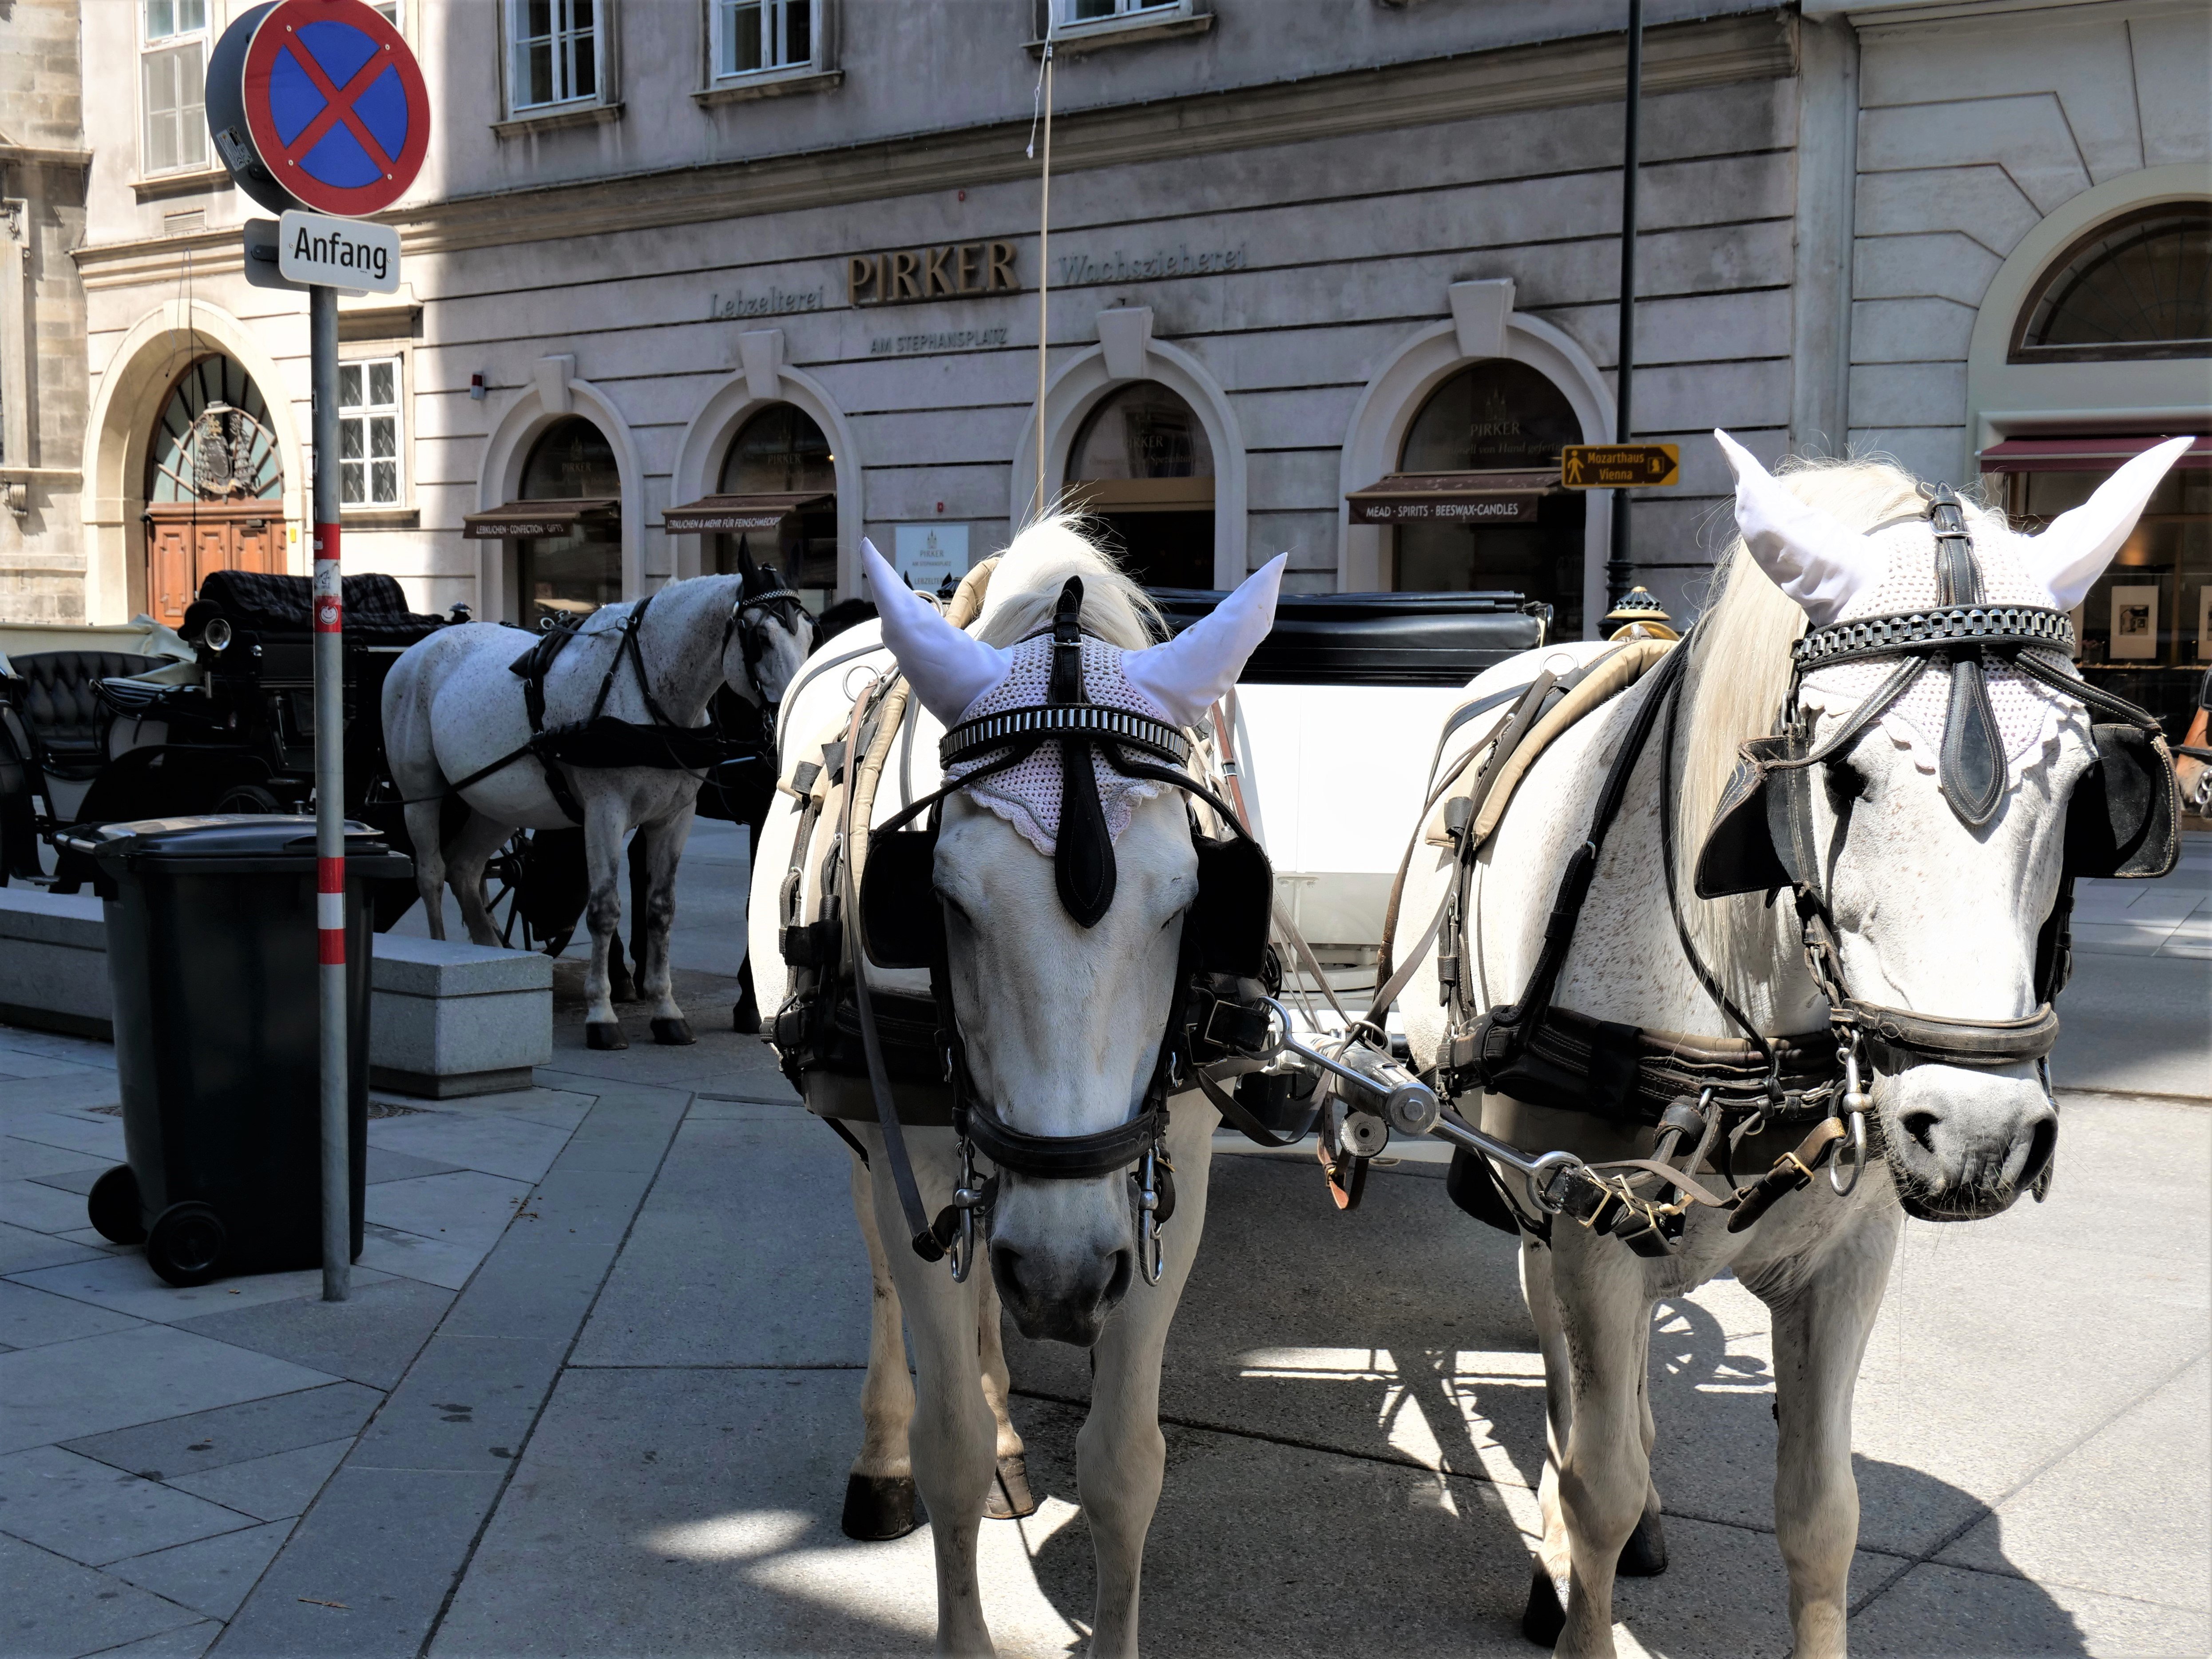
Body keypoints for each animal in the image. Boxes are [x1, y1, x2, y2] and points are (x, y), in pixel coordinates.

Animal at [385, 566, 809, 1044]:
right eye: (761, 639)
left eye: (811, 634)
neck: (651, 693)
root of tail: (425, 645)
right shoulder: (606, 813)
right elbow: (604, 910)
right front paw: (602, 1014)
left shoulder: (675, 817)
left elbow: (661, 909)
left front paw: (665, 1009)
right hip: (421, 793)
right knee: (432, 873)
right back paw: (437, 950)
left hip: (496, 802)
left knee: (465, 868)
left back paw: (490, 958)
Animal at [752, 522, 1292, 1659]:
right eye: (942, 900)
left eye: (1188, 901)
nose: (1061, 1276)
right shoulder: (920, 1159)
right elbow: (949, 1445)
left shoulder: (1162, 1173)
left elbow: (1124, 1462)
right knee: (887, 1268)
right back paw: (882, 1454)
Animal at [1389, 436, 2185, 1655]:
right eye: (1838, 776)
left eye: (2084, 784)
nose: (1980, 1135)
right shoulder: (1585, 1221)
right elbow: (1597, 1479)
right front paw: (1580, 1567)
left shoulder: (1846, 1258)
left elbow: (1820, 1513)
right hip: (1533, 1183)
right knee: (1568, 1377)